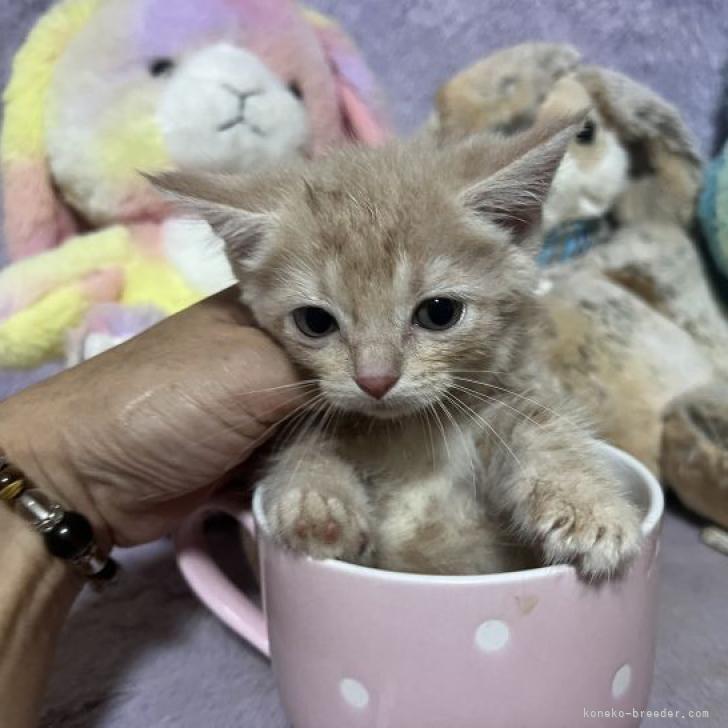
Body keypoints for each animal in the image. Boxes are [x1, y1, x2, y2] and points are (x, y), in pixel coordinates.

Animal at [151, 116, 640, 576]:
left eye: (439, 313)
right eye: (315, 322)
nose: (375, 380)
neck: (412, 435)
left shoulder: (507, 398)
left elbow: (544, 426)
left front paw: (587, 506)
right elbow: (308, 442)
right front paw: (316, 501)